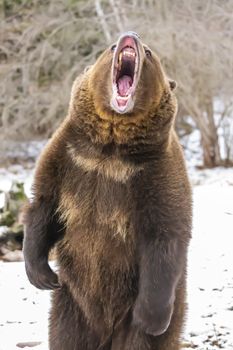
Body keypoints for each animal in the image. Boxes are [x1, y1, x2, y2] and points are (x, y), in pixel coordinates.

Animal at [23, 30, 191, 350]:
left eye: (148, 52)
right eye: (111, 47)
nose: (130, 36)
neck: (110, 148)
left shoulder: (155, 173)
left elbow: (166, 233)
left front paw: (150, 318)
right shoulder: (68, 159)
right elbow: (44, 206)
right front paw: (43, 275)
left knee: (142, 340)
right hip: (71, 306)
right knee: (66, 337)